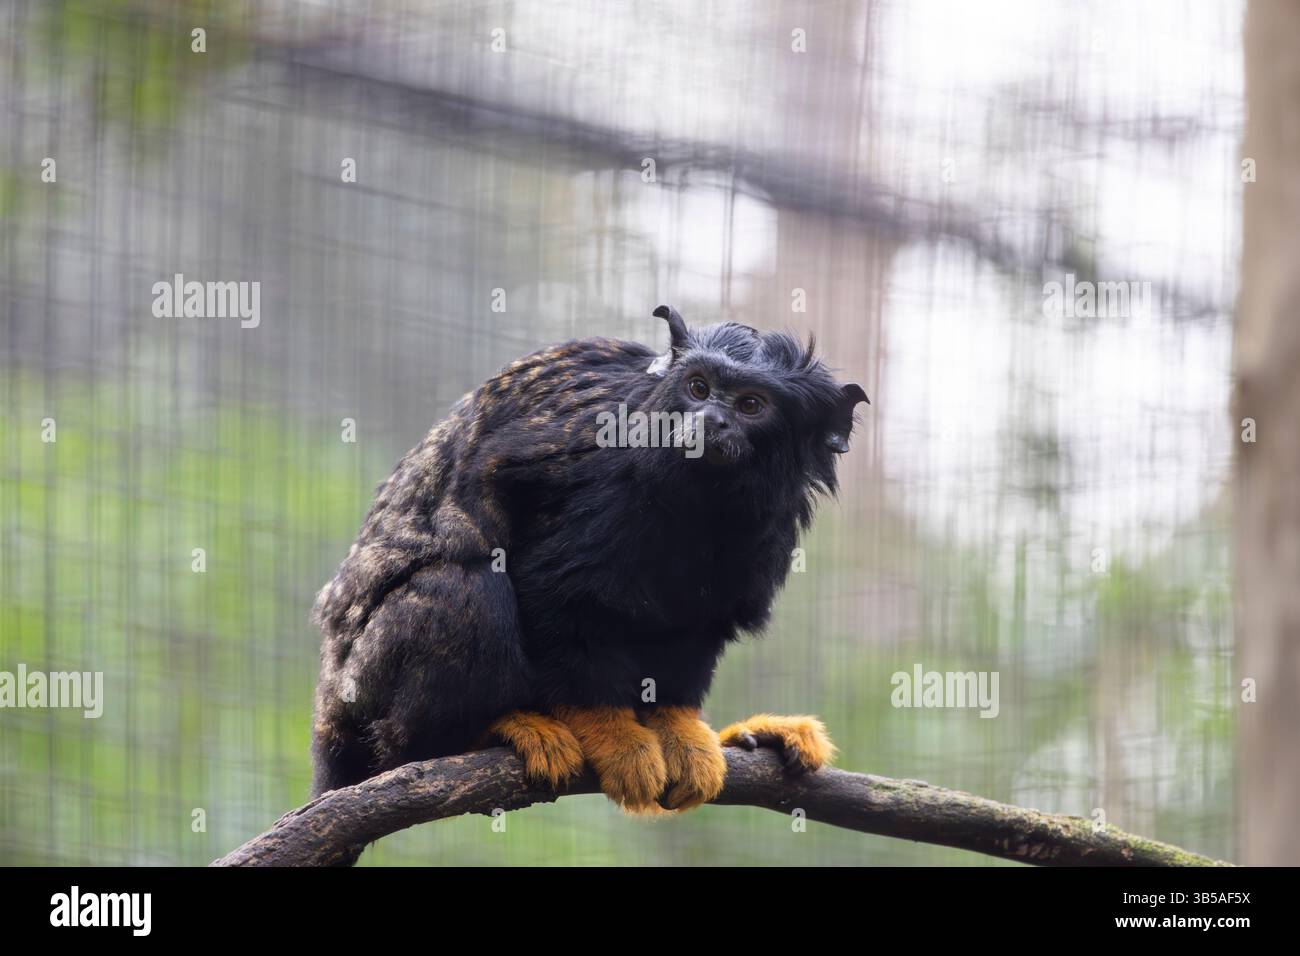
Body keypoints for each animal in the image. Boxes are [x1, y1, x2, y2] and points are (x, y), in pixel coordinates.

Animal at [310, 304, 869, 830]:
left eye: (751, 404)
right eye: (699, 387)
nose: (712, 420)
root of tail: (330, 705)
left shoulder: (766, 532)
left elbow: (694, 628)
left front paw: (680, 724)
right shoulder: (597, 467)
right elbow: (555, 597)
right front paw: (612, 731)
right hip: (368, 682)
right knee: (461, 589)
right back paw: (480, 734)